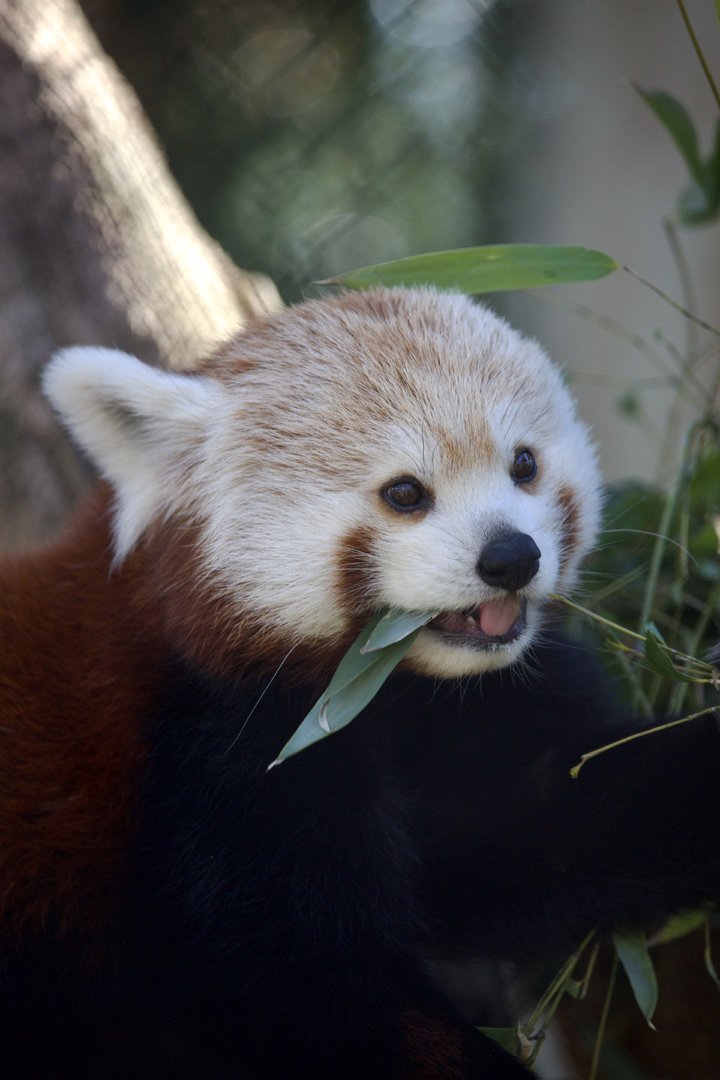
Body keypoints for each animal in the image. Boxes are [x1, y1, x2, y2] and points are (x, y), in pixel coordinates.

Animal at [0, 287, 718, 1079]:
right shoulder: (215, 757)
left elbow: (539, 833)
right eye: (405, 493)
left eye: (524, 465)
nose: (512, 556)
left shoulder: (475, 720)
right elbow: (316, 994)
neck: (390, 693)